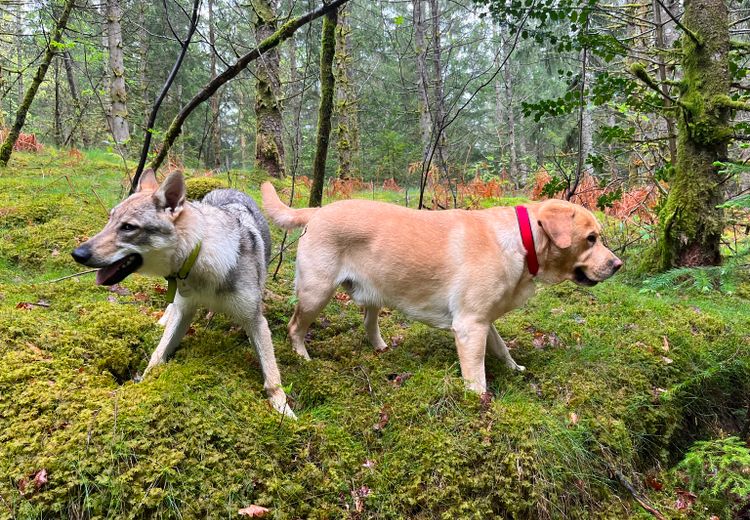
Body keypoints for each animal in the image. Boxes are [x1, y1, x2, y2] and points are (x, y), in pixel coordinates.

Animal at [71, 171, 294, 418]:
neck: (198, 259)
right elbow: (157, 355)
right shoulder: (184, 312)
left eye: (128, 227)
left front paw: (284, 410)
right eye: (110, 220)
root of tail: (231, 189)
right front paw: (143, 385)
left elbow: (272, 377)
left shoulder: (256, 321)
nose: (77, 253)